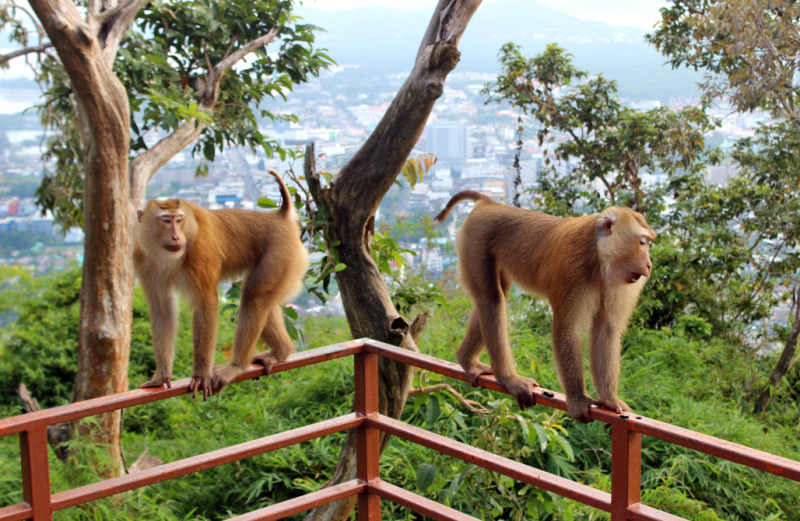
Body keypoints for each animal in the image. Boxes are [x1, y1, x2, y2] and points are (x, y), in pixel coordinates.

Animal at [133, 170, 308, 398]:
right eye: (165, 220)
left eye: (179, 220)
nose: (176, 236)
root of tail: (280, 217)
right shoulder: (144, 261)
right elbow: (162, 310)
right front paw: (161, 376)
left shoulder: (200, 251)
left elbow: (206, 303)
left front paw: (200, 376)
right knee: (260, 298)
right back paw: (281, 352)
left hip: (282, 255)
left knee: (254, 296)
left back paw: (236, 366)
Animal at [438, 191, 656, 422]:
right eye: (643, 243)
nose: (649, 265)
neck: (598, 255)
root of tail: (490, 204)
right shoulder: (572, 270)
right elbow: (566, 331)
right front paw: (578, 400)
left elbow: (606, 329)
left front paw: (609, 399)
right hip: (476, 241)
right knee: (491, 300)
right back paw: (508, 379)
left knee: (495, 296)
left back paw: (466, 360)